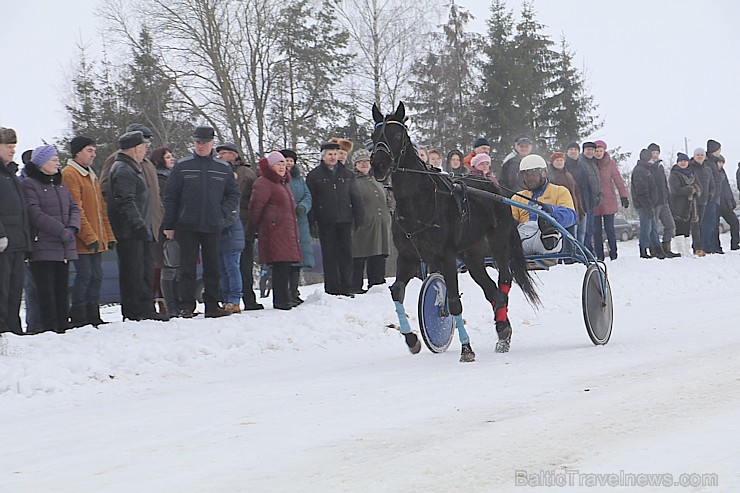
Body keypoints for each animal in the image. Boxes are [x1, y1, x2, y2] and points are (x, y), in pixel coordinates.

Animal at [370, 101, 536, 362]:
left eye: (396, 135)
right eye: (374, 135)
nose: (378, 165)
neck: (418, 203)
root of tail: (494, 187)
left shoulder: (446, 257)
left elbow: (454, 301)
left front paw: (466, 349)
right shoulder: (408, 257)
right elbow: (396, 291)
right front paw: (412, 340)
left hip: (498, 242)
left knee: (504, 280)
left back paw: (502, 327)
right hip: (472, 254)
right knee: (491, 290)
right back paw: (503, 330)